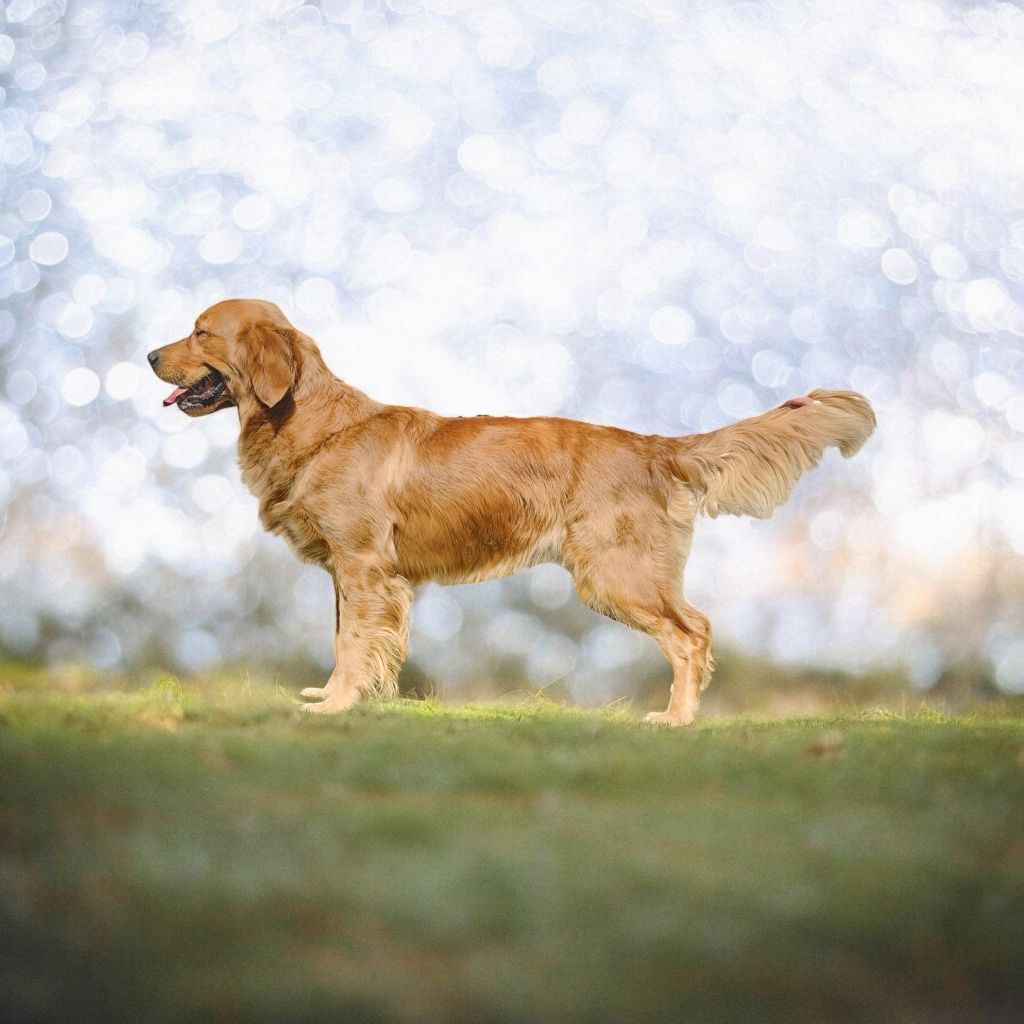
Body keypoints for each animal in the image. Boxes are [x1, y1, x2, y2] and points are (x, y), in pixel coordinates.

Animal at [148, 299, 876, 724]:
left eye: (199, 332)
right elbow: (345, 639)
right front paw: (339, 698)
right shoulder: (353, 574)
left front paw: (337, 706)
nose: (151, 354)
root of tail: (656, 445)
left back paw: (676, 720)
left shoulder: (362, 566)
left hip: (615, 574)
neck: (309, 422)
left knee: (692, 632)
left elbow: (352, 642)